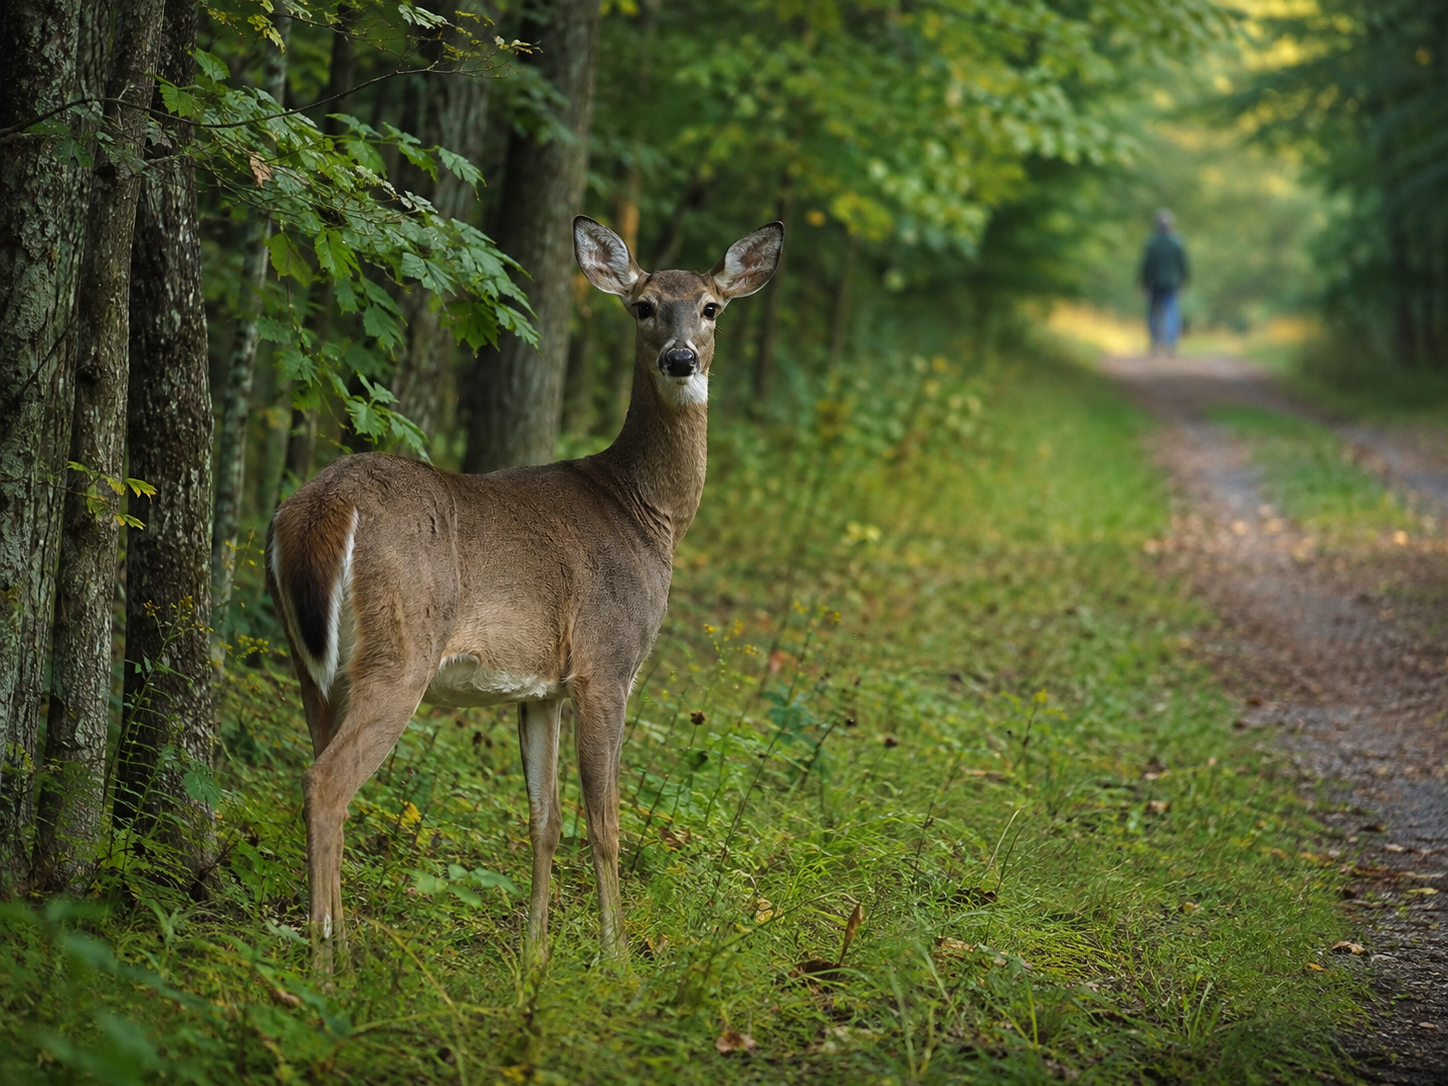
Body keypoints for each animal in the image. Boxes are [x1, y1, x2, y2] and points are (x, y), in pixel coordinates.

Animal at [265, 215, 783, 967]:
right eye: (644, 306)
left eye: (711, 307)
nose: (681, 359)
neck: (647, 514)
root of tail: (319, 508)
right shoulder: (607, 664)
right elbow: (605, 822)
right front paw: (615, 957)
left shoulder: (541, 688)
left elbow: (545, 816)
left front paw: (535, 951)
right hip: (398, 652)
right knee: (325, 785)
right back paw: (327, 964)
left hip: (312, 665)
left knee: (318, 772)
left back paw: (335, 947)